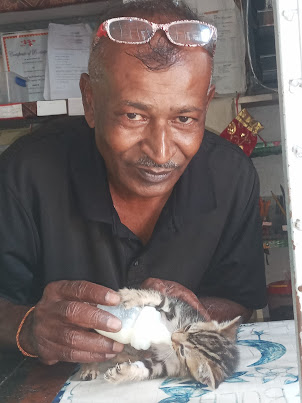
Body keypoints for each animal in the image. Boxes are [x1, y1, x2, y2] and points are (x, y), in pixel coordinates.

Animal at [81, 288, 241, 390]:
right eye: (188, 327)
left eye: (182, 351)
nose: (172, 336)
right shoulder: (176, 309)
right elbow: (161, 300)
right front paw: (130, 296)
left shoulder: (166, 365)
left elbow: (147, 368)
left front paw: (122, 373)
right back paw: (89, 367)